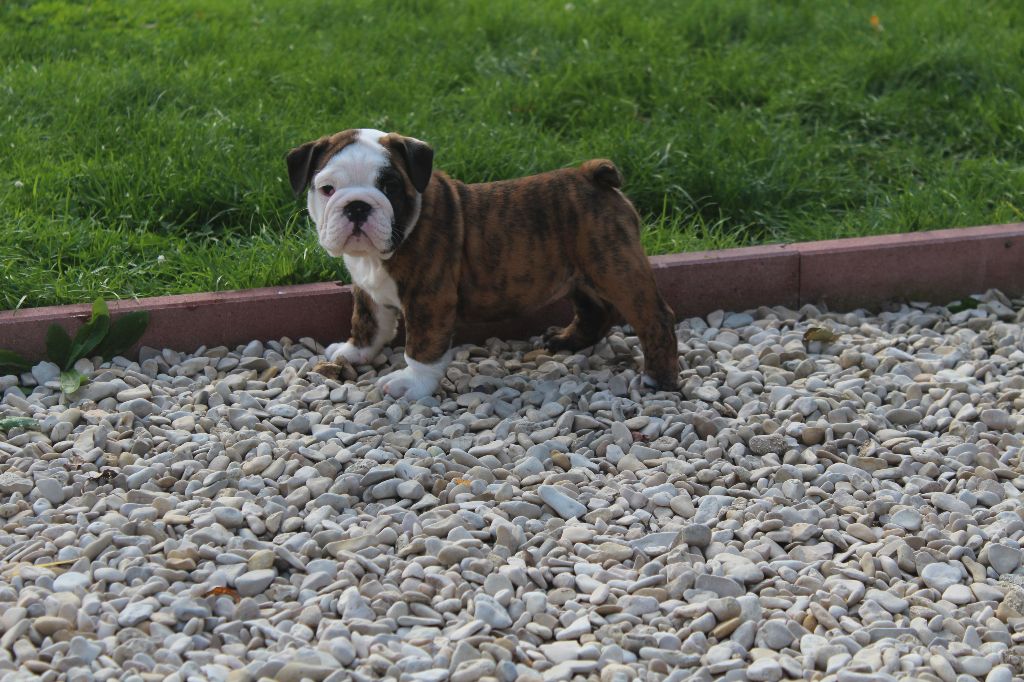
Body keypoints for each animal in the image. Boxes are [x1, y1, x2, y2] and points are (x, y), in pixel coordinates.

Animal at [287, 128, 679, 400]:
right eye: (327, 189)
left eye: (390, 186)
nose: (357, 206)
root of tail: (591, 175)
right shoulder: (367, 290)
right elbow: (367, 323)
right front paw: (354, 352)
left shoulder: (429, 300)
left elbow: (422, 348)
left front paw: (412, 384)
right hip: (580, 274)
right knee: (595, 311)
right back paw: (568, 341)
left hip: (616, 268)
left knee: (655, 318)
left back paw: (659, 378)